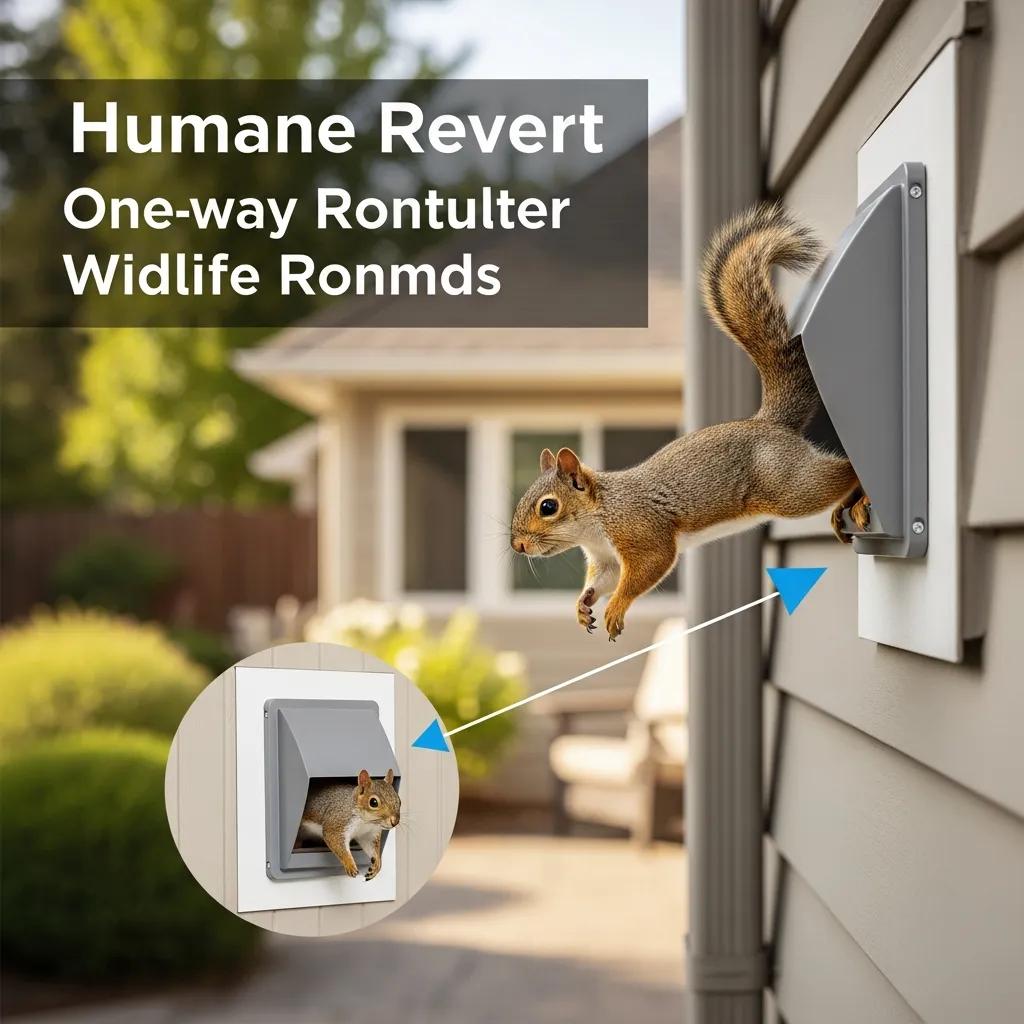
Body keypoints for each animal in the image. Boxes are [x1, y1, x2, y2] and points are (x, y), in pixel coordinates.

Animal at [510, 203, 869, 641]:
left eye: (548, 507)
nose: (518, 546)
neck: (597, 519)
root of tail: (771, 424)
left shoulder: (643, 533)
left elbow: (646, 569)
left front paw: (616, 608)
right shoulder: (606, 558)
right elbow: (603, 579)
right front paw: (584, 604)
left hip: (783, 486)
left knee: (838, 473)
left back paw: (858, 492)